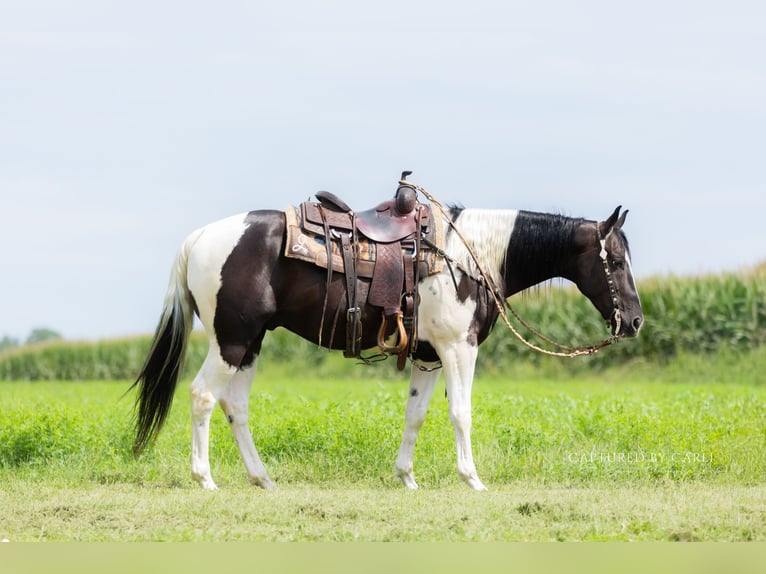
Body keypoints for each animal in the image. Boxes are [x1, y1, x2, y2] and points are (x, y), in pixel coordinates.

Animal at [130, 198, 643, 491]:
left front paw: (407, 477)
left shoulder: (430, 356)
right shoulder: (459, 348)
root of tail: (199, 238)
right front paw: (472, 479)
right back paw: (205, 479)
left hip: (249, 342)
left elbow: (416, 414)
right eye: (616, 260)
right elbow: (461, 413)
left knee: (235, 406)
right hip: (231, 340)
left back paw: (262, 478)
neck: (470, 255)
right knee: (202, 396)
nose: (636, 321)